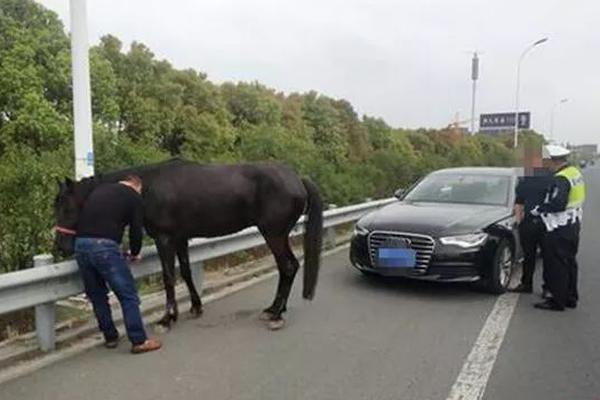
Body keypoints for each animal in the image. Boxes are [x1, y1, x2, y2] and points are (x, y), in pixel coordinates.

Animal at [54, 158, 322, 330]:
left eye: (66, 207)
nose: (61, 246)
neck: (150, 187)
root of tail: (297, 179)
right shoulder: (180, 238)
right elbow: (185, 272)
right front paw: (195, 307)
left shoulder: (164, 239)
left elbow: (168, 277)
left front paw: (167, 319)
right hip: (279, 235)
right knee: (289, 268)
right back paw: (275, 309)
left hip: (274, 234)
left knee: (288, 267)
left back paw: (276, 314)